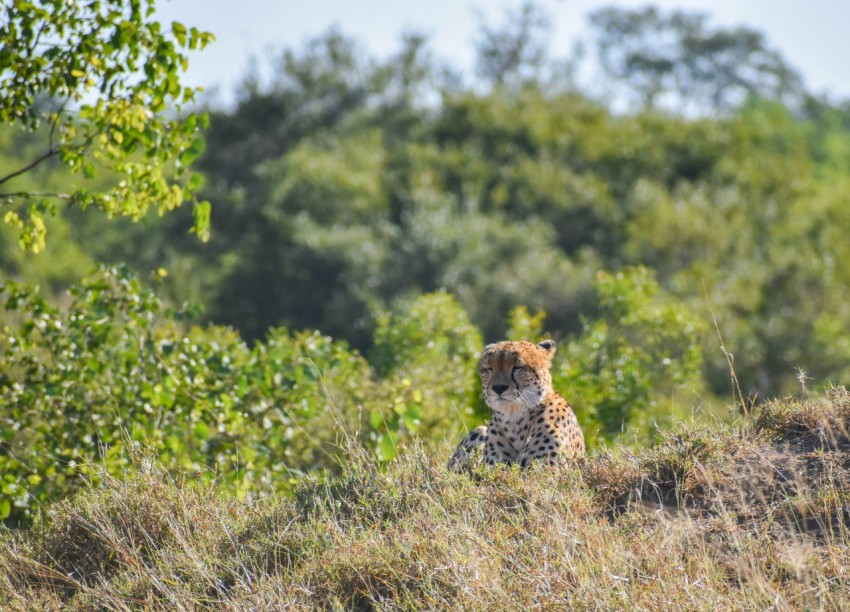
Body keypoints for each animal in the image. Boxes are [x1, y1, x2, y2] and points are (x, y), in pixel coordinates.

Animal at [448, 339, 585, 470]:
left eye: (518, 367)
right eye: (488, 368)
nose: (498, 388)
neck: (514, 418)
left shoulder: (546, 470)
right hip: (480, 430)